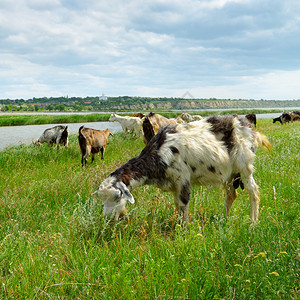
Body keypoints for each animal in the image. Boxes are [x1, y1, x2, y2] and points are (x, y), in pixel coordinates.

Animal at [95, 115, 272, 225]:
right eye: (102, 199)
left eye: (118, 196)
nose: (108, 218)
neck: (159, 152)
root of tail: (247, 125)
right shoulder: (174, 185)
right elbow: (178, 206)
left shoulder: (182, 179)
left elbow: (183, 204)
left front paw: (184, 232)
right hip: (230, 173)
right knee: (231, 194)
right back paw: (224, 219)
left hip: (244, 164)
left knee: (254, 191)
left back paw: (253, 222)